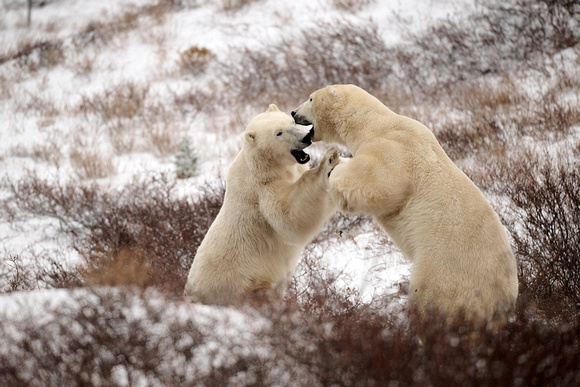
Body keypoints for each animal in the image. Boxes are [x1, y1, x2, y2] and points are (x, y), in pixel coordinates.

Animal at [185, 104, 340, 306]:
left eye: (291, 122)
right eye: (279, 133)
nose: (306, 137)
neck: (264, 166)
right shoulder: (262, 191)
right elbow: (289, 218)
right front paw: (328, 162)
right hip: (239, 282)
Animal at [292, 85, 520, 328]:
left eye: (310, 98)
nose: (293, 112)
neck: (374, 124)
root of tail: (501, 302)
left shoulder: (393, 150)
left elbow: (381, 183)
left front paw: (335, 168)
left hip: (445, 272)